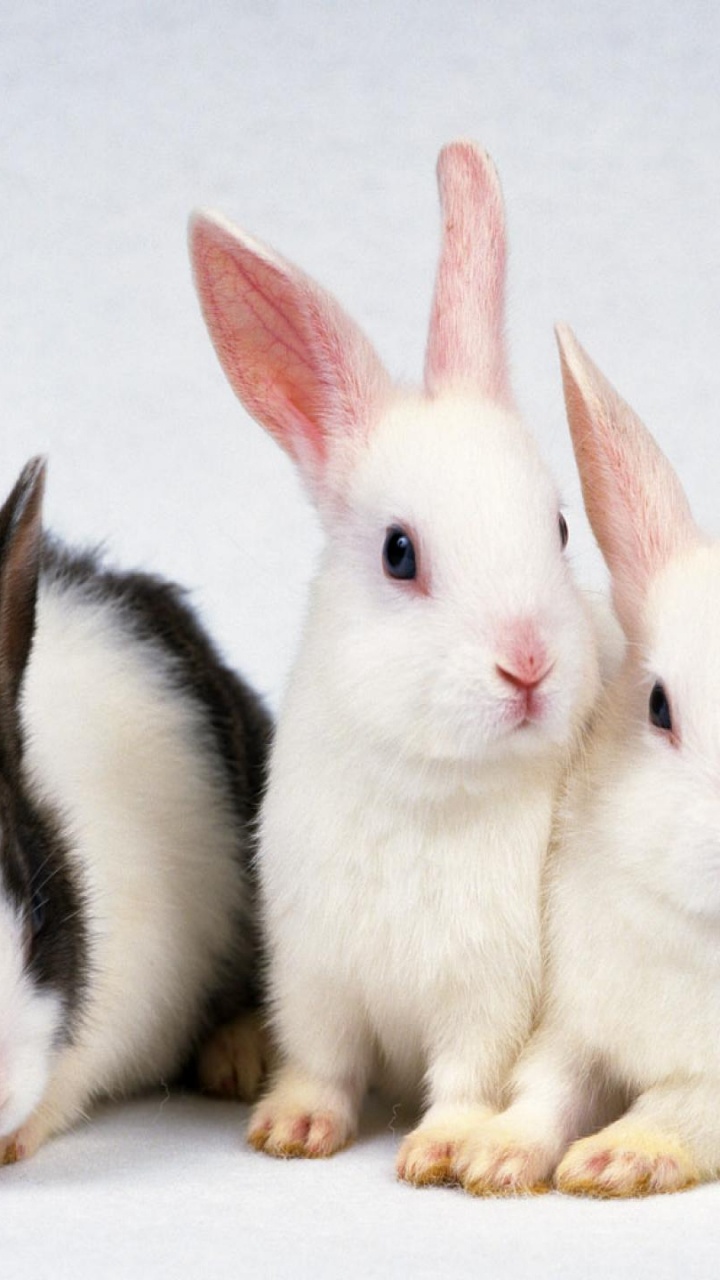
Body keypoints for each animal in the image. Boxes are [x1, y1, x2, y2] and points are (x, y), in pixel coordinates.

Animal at [189, 141, 601, 1184]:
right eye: (399, 553)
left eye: (559, 527)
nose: (528, 665)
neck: (425, 784)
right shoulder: (316, 977)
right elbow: (323, 1062)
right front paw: (293, 1129)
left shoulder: (488, 996)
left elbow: (466, 1075)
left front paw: (444, 1149)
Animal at [456, 324, 720, 1198]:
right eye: (658, 706)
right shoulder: (573, 1026)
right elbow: (547, 1088)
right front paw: (493, 1155)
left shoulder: (710, 1086)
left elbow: (677, 1110)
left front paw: (614, 1160)